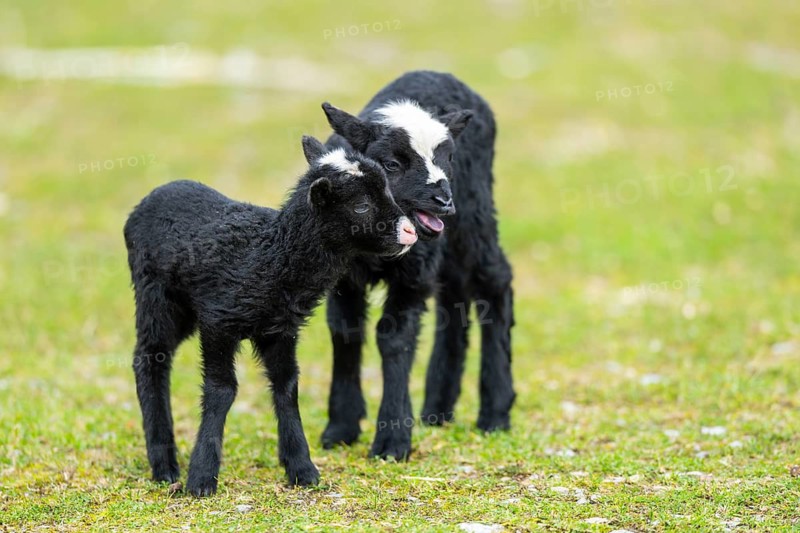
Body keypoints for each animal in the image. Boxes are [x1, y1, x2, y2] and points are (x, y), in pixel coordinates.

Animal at [123, 136, 417, 496]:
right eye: (361, 206)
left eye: (387, 190)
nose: (410, 232)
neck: (272, 256)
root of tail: (152, 196)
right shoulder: (218, 321)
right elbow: (222, 390)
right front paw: (202, 478)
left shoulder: (280, 329)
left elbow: (286, 385)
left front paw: (302, 469)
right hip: (156, 297)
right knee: (150, 359)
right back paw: (164, 465)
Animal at [319, 71, 515, 460]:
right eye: (392, 164)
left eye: (448, 159)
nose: (443, 199)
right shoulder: (343, 277)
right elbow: (345, 332)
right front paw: (341, 427)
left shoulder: (413, 274)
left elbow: (393, 338)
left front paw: (392, 440)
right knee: (454, 297)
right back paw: (438, 408)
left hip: (475, 213)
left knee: (494, 280)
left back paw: (495, 411)